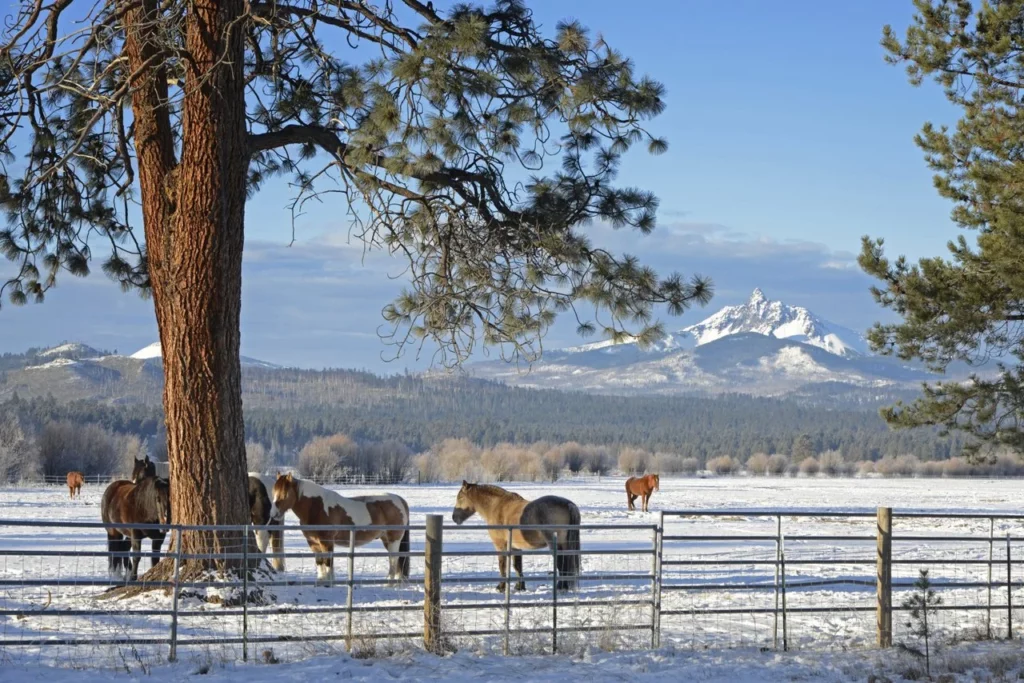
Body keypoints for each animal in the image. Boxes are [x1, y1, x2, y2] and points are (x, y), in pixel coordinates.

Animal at [274, 471, 413, 589]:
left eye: (285, 494)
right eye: (274, 492)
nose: (274, 514)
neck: (316, 507)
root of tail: (401, 500)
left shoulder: (326, 542)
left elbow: (328, 562)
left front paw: (329, 583)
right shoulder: (313, 542)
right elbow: (319, 562)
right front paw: (320, 582)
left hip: (393, 540)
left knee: (394, 559)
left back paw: (389, 583)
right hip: (387, 540)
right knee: (398, 559)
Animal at [452, 481, 581, 593]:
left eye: (460, 498)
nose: (454, 518)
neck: (496, 506)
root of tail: (568, 504)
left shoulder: (500, 545)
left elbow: (502, 565)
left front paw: (501, 587)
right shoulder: (515, 547)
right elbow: (517, 566)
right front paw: (520, 587)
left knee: (561, 563)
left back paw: (561, 587)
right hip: (565, 544)